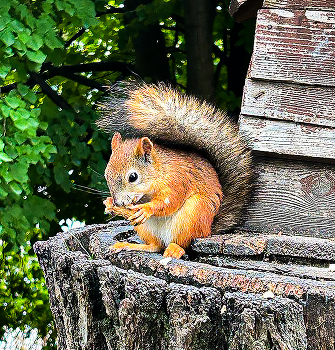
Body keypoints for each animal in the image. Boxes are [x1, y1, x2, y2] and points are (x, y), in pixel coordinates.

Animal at [96, 81, 253, 258]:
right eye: (106, 174)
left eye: (133, 177)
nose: (118, 202)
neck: (159, 172)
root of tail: (209, 228)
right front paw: (108, 203)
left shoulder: (178, 180)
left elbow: (169, 201)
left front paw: (146, 208)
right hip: (145, 228)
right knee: (155, 246)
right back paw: (128, 245)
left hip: (194, 214)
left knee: (184, 242)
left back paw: (175, 249)